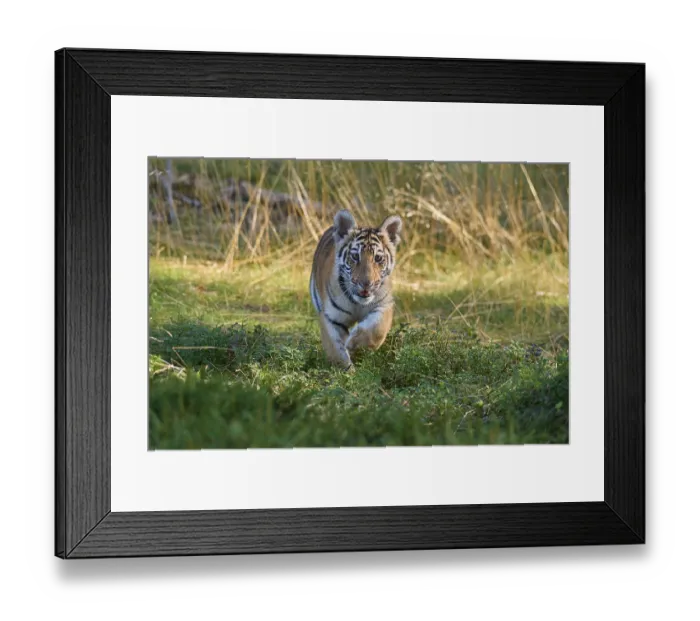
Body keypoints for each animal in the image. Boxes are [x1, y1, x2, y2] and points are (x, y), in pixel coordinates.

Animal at [309, 209, 402, 371]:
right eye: (354, 256)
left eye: (378, 258)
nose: (366, 284)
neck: (358, 303)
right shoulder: (330, 316)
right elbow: (335, 350)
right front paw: (347, 371)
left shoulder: (384, 305)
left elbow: (377, 330)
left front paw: (355, 345)